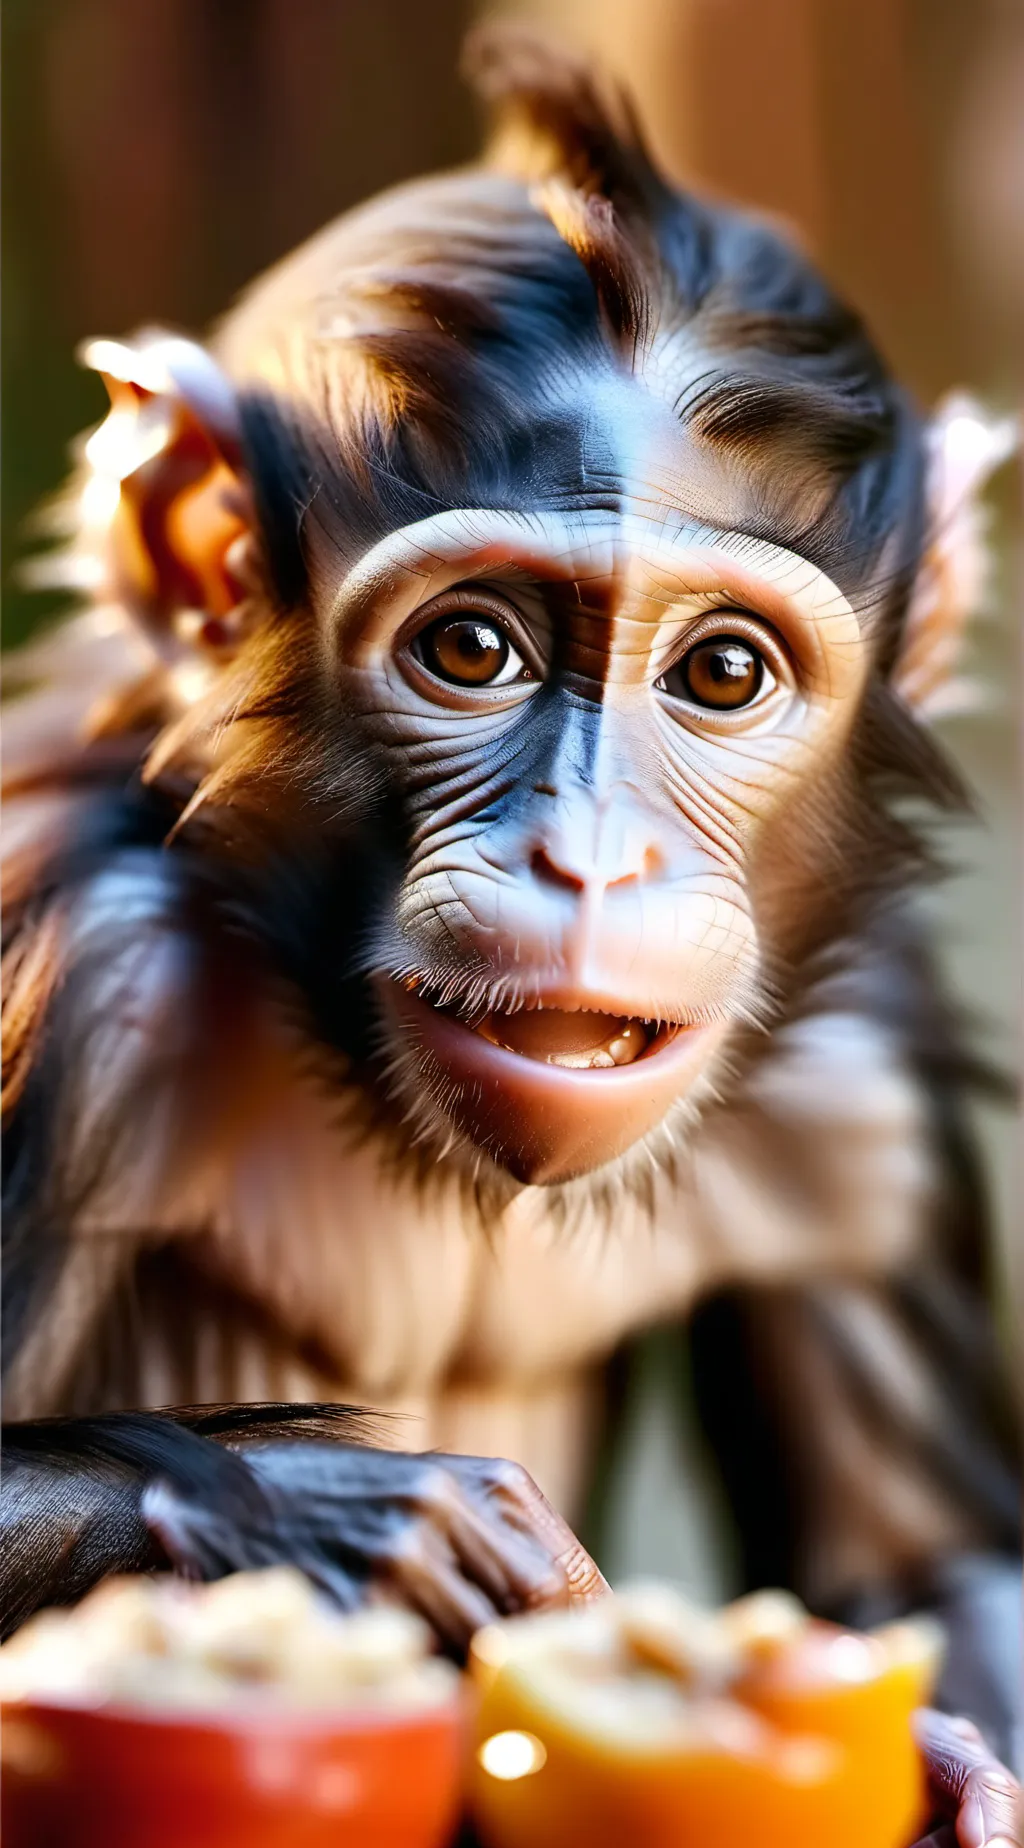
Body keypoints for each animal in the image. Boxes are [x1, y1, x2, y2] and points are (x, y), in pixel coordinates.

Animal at [2, 26, 1020, 1825]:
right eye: (470, 648)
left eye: (722, 672)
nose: (590, 860)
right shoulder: (78, 986)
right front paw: (334, 1510)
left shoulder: (870, 1078)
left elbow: (931, 1566)